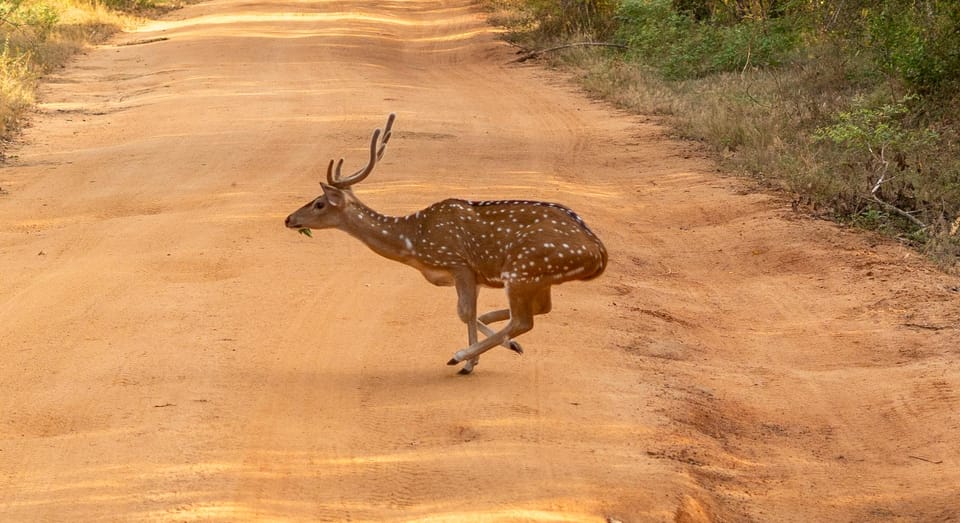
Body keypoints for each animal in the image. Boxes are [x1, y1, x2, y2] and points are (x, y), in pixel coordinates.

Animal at [284, 116, 612, 374]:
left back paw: (460, 355)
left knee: (524, 319)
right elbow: (470, 312)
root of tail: (598, 252)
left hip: (523, 267)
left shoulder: (458, 262)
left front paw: (469, 362)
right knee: (541, 310)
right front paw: (481, 358)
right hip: (539, 276)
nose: (289, 219)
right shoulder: (474, 276)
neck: (414, 242)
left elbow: (464, 312)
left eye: (319, 204)